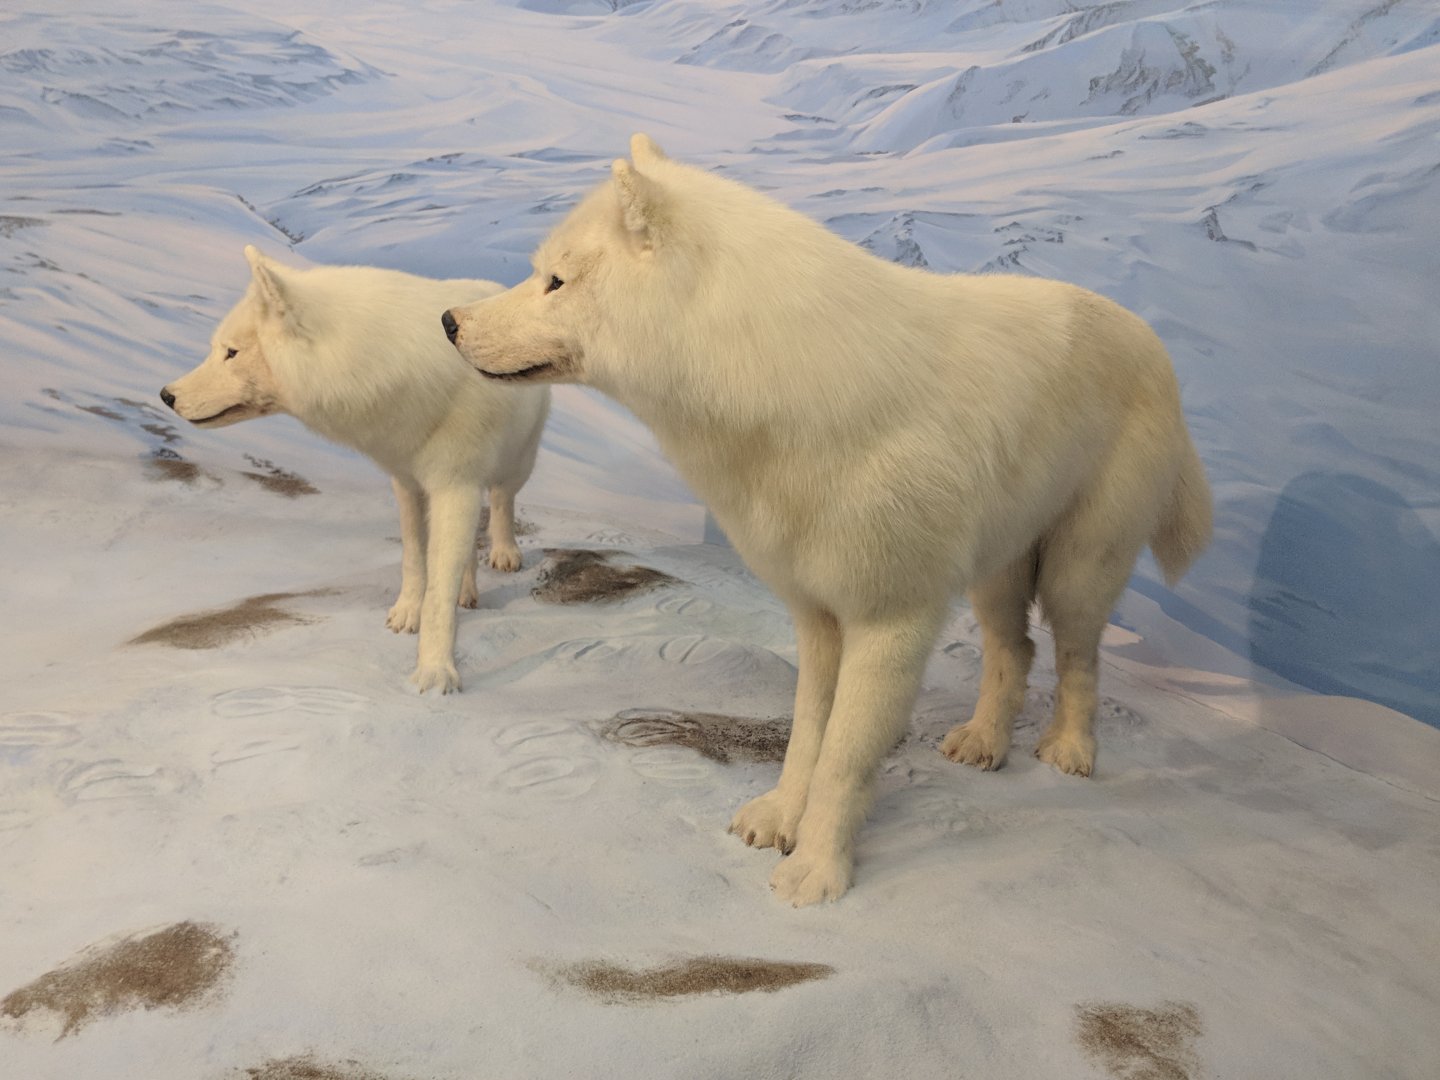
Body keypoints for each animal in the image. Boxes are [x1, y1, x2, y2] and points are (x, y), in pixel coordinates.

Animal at [162, 245, 550, 693]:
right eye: (218, 349)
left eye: (231, 353)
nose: (167, 395)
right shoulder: (408, 482)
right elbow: (415, 559)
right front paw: (407, 613)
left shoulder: (456, 487)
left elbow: (439, 590)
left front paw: (436, 674)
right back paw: (467, 590)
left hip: (516, 465)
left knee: (503, 501)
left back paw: (504, 553)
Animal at [443, 135, 1211, 905]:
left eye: (555, 281)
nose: (451, 322)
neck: (781, 380)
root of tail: (1157, 348)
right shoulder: (816, 614)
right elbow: (808, 734)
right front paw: (780, 819)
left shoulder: (890, 621)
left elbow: (844, 755)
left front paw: (815, 872)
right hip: (995, 572)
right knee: (1014, 650)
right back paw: (983, 745)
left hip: (1079, 569)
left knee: (1079, 656)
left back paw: (1071, 751)